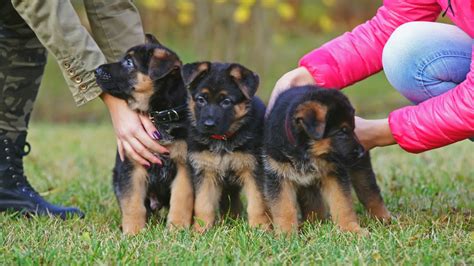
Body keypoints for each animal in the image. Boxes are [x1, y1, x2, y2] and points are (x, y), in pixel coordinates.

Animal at [95, 34, 193, 235]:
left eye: (129, 62)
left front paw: (177, 228)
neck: (159, 117)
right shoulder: (133, 165)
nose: (96, 70)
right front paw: (133, 232)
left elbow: (181, 199)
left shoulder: (184, 166)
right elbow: (132, 203)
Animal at [181, 61, 270, 232]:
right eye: (201, 99)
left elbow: (257, 203)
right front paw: (200, 230)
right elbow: (203, 204)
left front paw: (260, 228)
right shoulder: (205, 171)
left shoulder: (253, 170)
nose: (208, 125)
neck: (222, 140)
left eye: (226, 101)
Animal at [262, 85, 388, 235]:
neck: (305, 152)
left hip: (360, 170)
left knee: (369, 191)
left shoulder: (335, 173)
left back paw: (383, 217)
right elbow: (283, 208)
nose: (362, 151)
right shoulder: (278, 175)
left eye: (353, 129)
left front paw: (351, 229)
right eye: (342, 131)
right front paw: (286, 235)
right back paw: (314, 224)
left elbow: (342, 203)